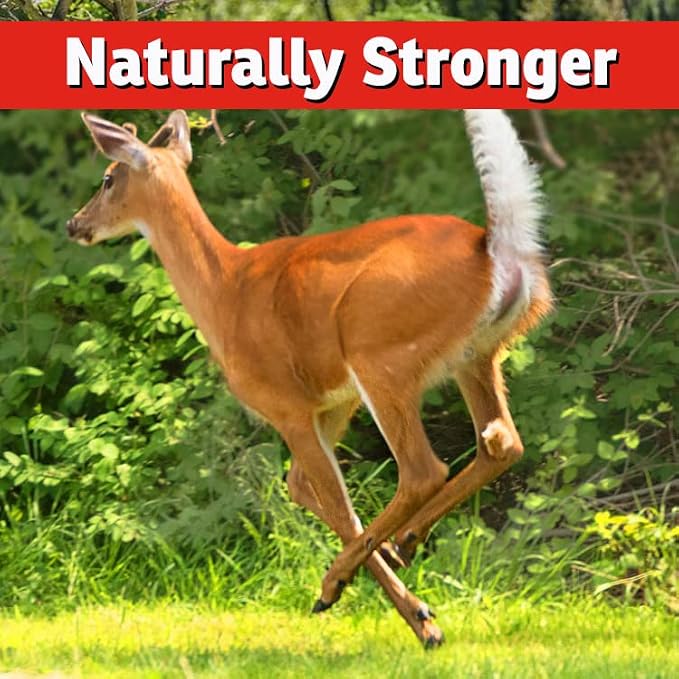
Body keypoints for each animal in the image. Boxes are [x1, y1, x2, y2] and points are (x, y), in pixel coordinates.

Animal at [67, 108, 551, 647]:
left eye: (108, 179)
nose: (75, 223)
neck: (224, 291)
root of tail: (495, 250)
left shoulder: (288, 406)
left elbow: (333, 501)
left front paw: (409, 614)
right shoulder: (332, 402)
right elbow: (305, 488)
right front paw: (411, 601)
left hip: (380, 353)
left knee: (424, 468)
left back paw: (345, 580)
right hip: (478, 356)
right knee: (503, 441)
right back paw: (405, 542)